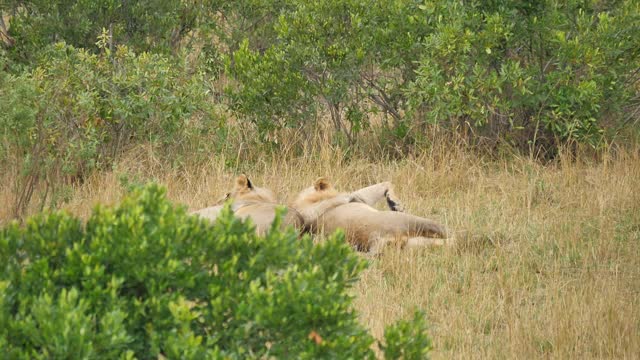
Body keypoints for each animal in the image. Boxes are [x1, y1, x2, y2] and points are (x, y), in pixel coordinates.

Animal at [292, 179, 452, 255]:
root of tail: (376, 240)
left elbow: (385, 183)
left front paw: (394, 202)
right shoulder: (308, 211)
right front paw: (395, 204)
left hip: (415, 244)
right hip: (412, 221)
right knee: (449, 235)